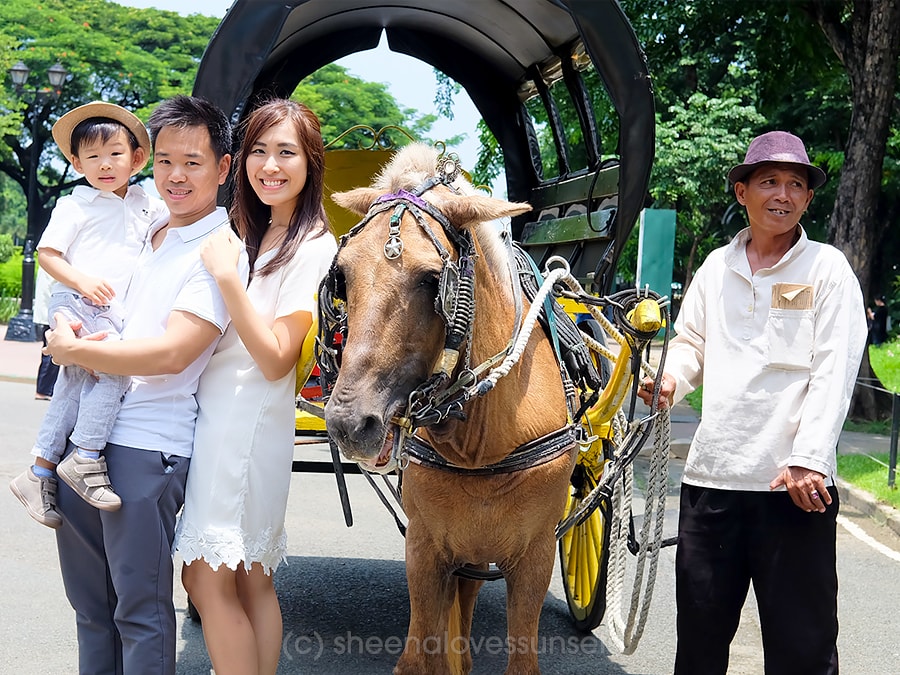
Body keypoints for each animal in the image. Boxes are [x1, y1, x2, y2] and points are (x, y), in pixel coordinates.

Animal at [326, 145, 576, 672]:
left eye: (430, 281)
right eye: (344, 276)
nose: (348, 423)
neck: (480, 445)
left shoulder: (537, 554)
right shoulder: (425, 549)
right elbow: (422, 649)